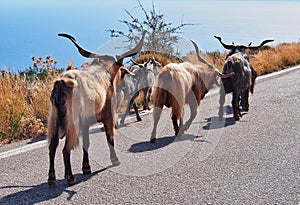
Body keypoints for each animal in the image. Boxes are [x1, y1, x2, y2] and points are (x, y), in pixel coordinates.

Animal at [47, 30, 146, 186]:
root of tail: (61, 83)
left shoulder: (85, 122)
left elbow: (86, 143)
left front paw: (86, 168)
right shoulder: (108, 116)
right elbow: (109, 137)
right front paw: (115, 160)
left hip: (54, 121)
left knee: (52, 147)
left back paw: (51, 179)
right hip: (71, 124)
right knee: (65, 149)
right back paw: (70, 178)